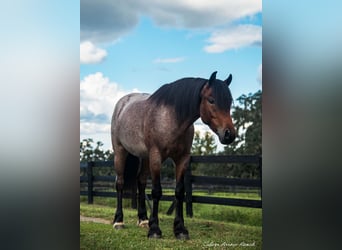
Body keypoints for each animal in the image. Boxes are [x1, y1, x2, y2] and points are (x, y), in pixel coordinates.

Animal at [111, 71, 236, 239]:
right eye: (211, 100)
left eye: (230, 102)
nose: (229, 134)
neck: (170, 118)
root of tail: (122, 104)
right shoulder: (156, 157)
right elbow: (157, 192)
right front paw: (155, 230)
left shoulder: (182, 159)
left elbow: (179, 192)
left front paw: (180, 229)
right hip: (120, 152)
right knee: (120, 183)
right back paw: (118, 221)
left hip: (144, 157)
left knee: (141, 182)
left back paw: (143, 219)